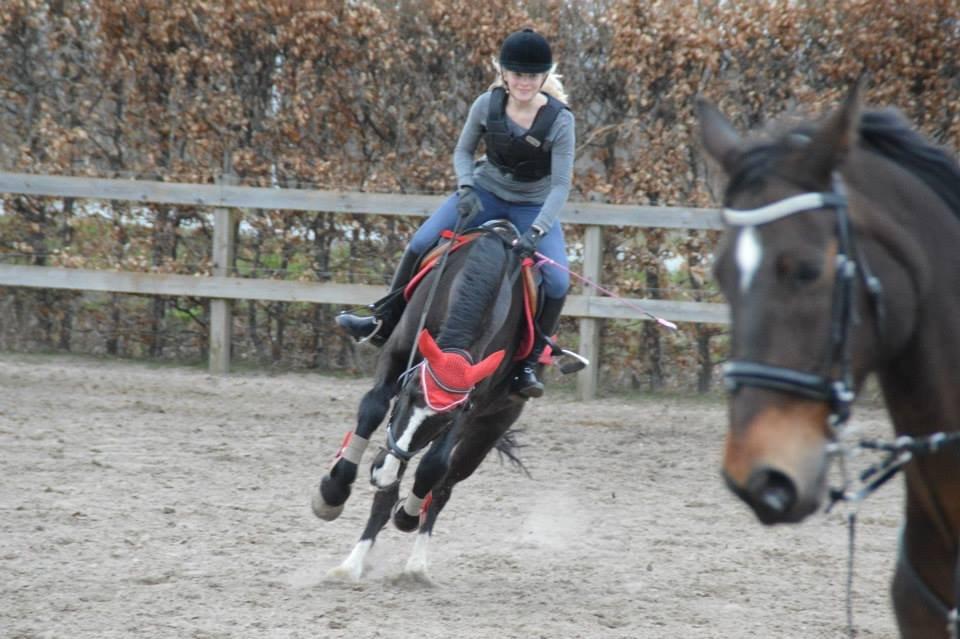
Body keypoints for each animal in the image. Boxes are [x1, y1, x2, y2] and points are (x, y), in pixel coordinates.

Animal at [312, 228, 528, 584]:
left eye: (447, 416)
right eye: (410, 392)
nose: (386, 464)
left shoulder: (471, 403)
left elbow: (433, 468)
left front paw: (407, 513)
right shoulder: (397, 356)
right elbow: (372, 409)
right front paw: (333, 491)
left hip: (489, 430)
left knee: (441, 489)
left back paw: (415, 561)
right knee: (387, 494)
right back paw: (353, 563)